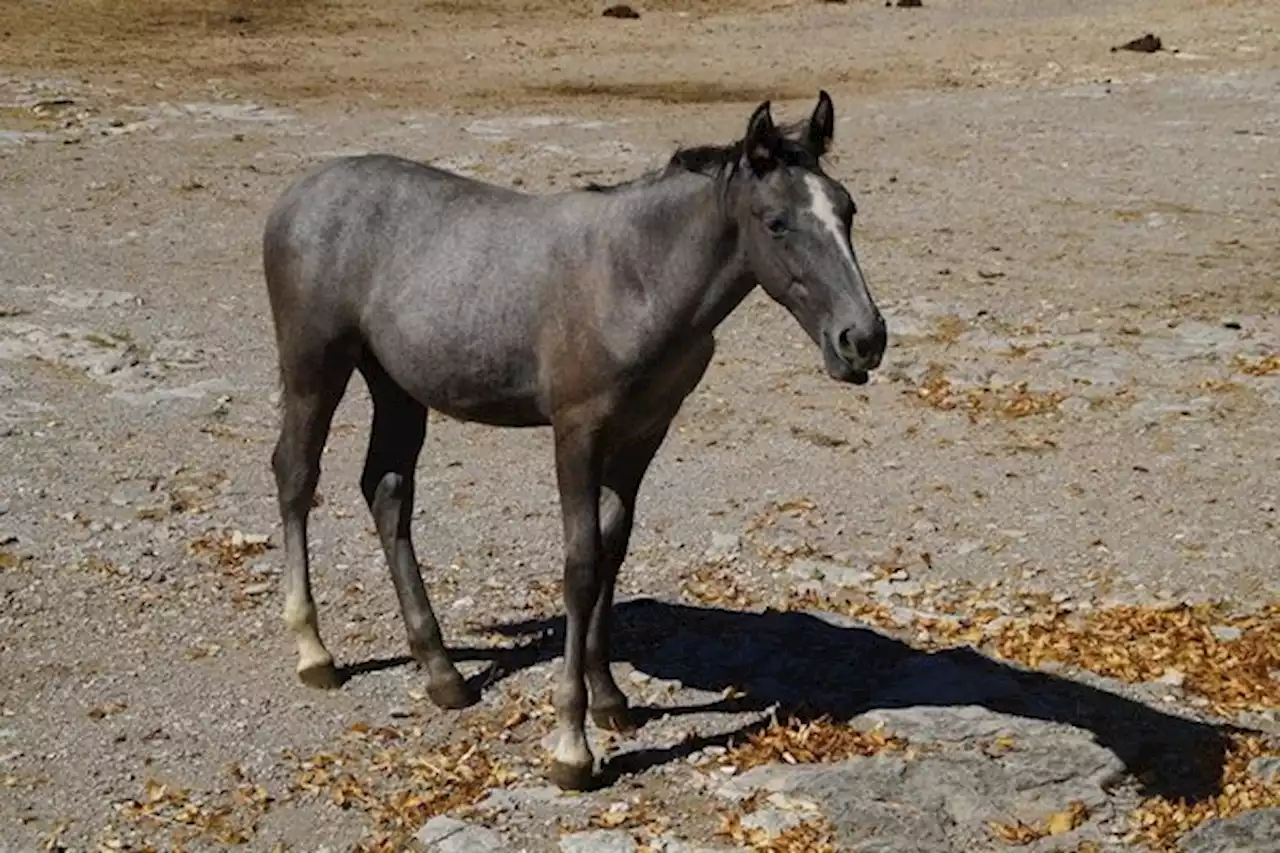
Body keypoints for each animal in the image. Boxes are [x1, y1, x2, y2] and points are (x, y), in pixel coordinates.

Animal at [258, 89, 880, 788]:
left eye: (848, 209)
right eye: (776, 222)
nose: (863, 339)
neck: (636, 278)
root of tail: (303, 190)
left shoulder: (643, 434)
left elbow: (612, 549)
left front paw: (609, 698)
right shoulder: (577, 433)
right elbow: (580, 565)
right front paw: (570, 744)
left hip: (396, 386)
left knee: (387, 490)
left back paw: (442, 672)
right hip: (314, 365)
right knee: (296, 475)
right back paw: (314, 652)